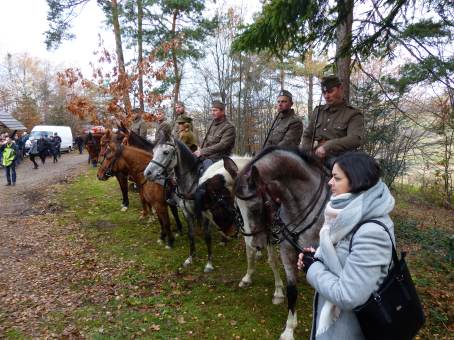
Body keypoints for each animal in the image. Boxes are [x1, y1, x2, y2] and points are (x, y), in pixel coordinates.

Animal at [145, 132, 238, 270]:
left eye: (166, 152)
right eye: (153, 151)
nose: (148, 173)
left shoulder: (205, 213)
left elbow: (207, 236)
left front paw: (209, 263)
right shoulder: (187, 212)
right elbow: (191, 234)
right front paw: (190, 258)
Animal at [232, 147, 328, 340]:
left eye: (255, 208)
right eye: (237, 207)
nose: (255, 245)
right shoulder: (287, 251)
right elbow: (291, 290)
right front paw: (289, 329)